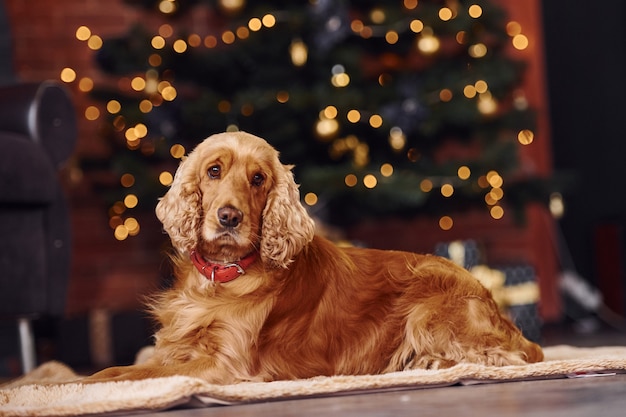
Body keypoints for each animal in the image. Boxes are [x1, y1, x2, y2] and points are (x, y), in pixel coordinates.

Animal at [89, 132, 540, 382]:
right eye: (214, 170)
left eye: (258, 179)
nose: (229, 217)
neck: (223, 275)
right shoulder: (175, 348)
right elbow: (126, 367)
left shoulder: (224, 364)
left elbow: (125, 374)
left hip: (428, 313)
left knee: (503, 357)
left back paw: (428, 363)